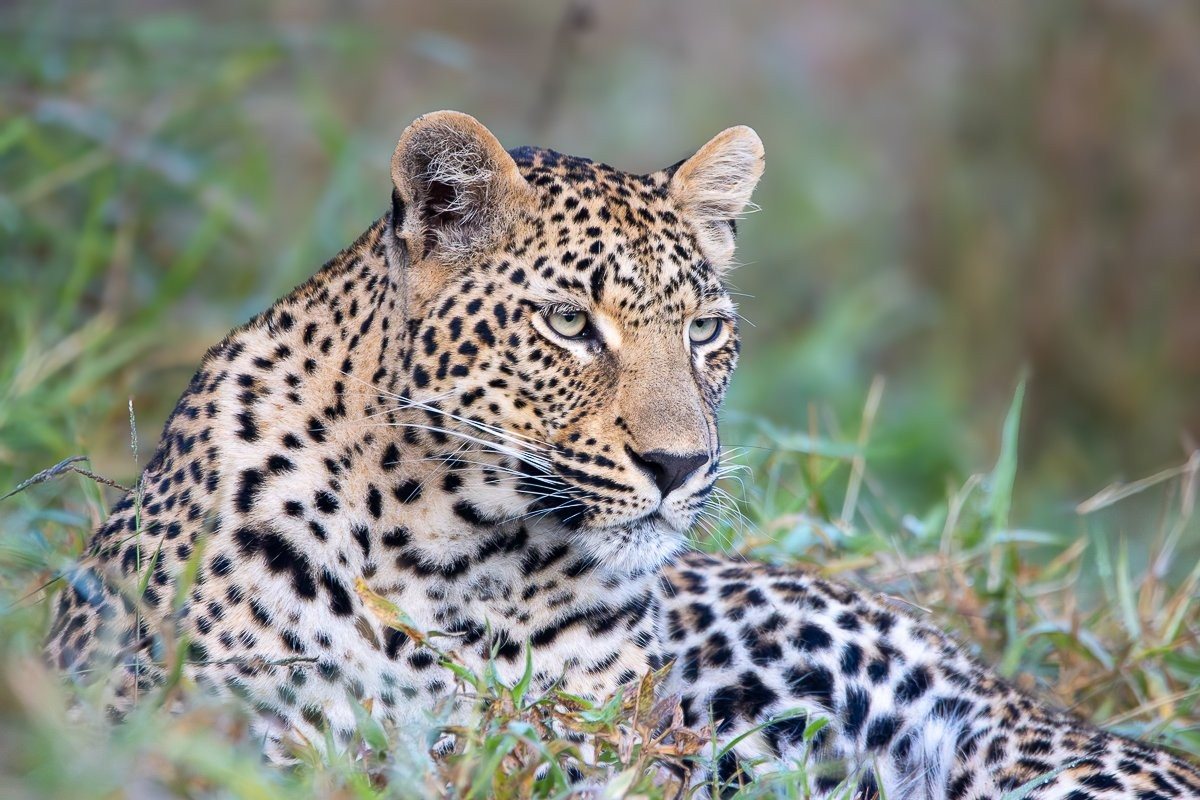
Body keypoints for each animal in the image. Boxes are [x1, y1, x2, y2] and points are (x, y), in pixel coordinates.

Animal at [45, 110, 1200, 798]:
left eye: (705, 330)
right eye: (568, 322)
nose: (682, 466)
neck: (453, 554)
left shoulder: (611, 753)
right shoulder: (179, 716)